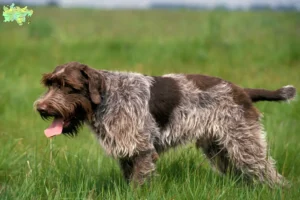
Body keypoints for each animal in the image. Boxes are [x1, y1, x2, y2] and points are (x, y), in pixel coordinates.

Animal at [34, 61, 296, 187]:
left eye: (68, 86)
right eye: (50, 83)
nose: (41, 108)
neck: (108, 97)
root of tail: (241, 90)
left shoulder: (141, 151)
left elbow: (138, 183)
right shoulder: (127, 153)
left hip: (245, 144)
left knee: (270, 174)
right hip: (220, 148)